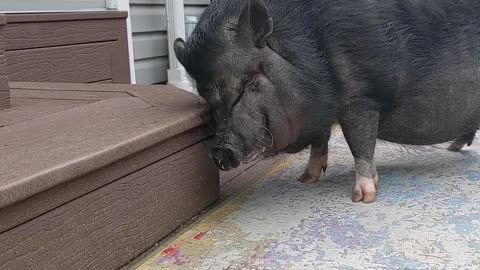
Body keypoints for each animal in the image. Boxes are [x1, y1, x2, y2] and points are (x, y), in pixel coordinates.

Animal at [175, 0, 480, 202]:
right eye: (205, 96)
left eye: (246, 83)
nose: (219, 150)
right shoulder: (320, 111)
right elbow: (319, 141)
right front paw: (305, 180)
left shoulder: (361, 101)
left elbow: (359, 144)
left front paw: (363, 197)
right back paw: (452, 148)